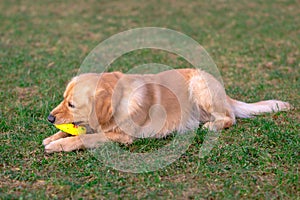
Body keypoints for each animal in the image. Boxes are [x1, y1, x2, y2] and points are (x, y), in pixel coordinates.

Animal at [42, 69, 290, 153]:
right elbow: (77, 131)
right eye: (63, 99)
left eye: (72, 105)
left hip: (199, 84)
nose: (50, 117)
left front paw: (59, 144)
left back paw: (212, 125)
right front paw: (54, 136)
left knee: (230, 118)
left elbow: (83, 138)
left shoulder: (122, 137)